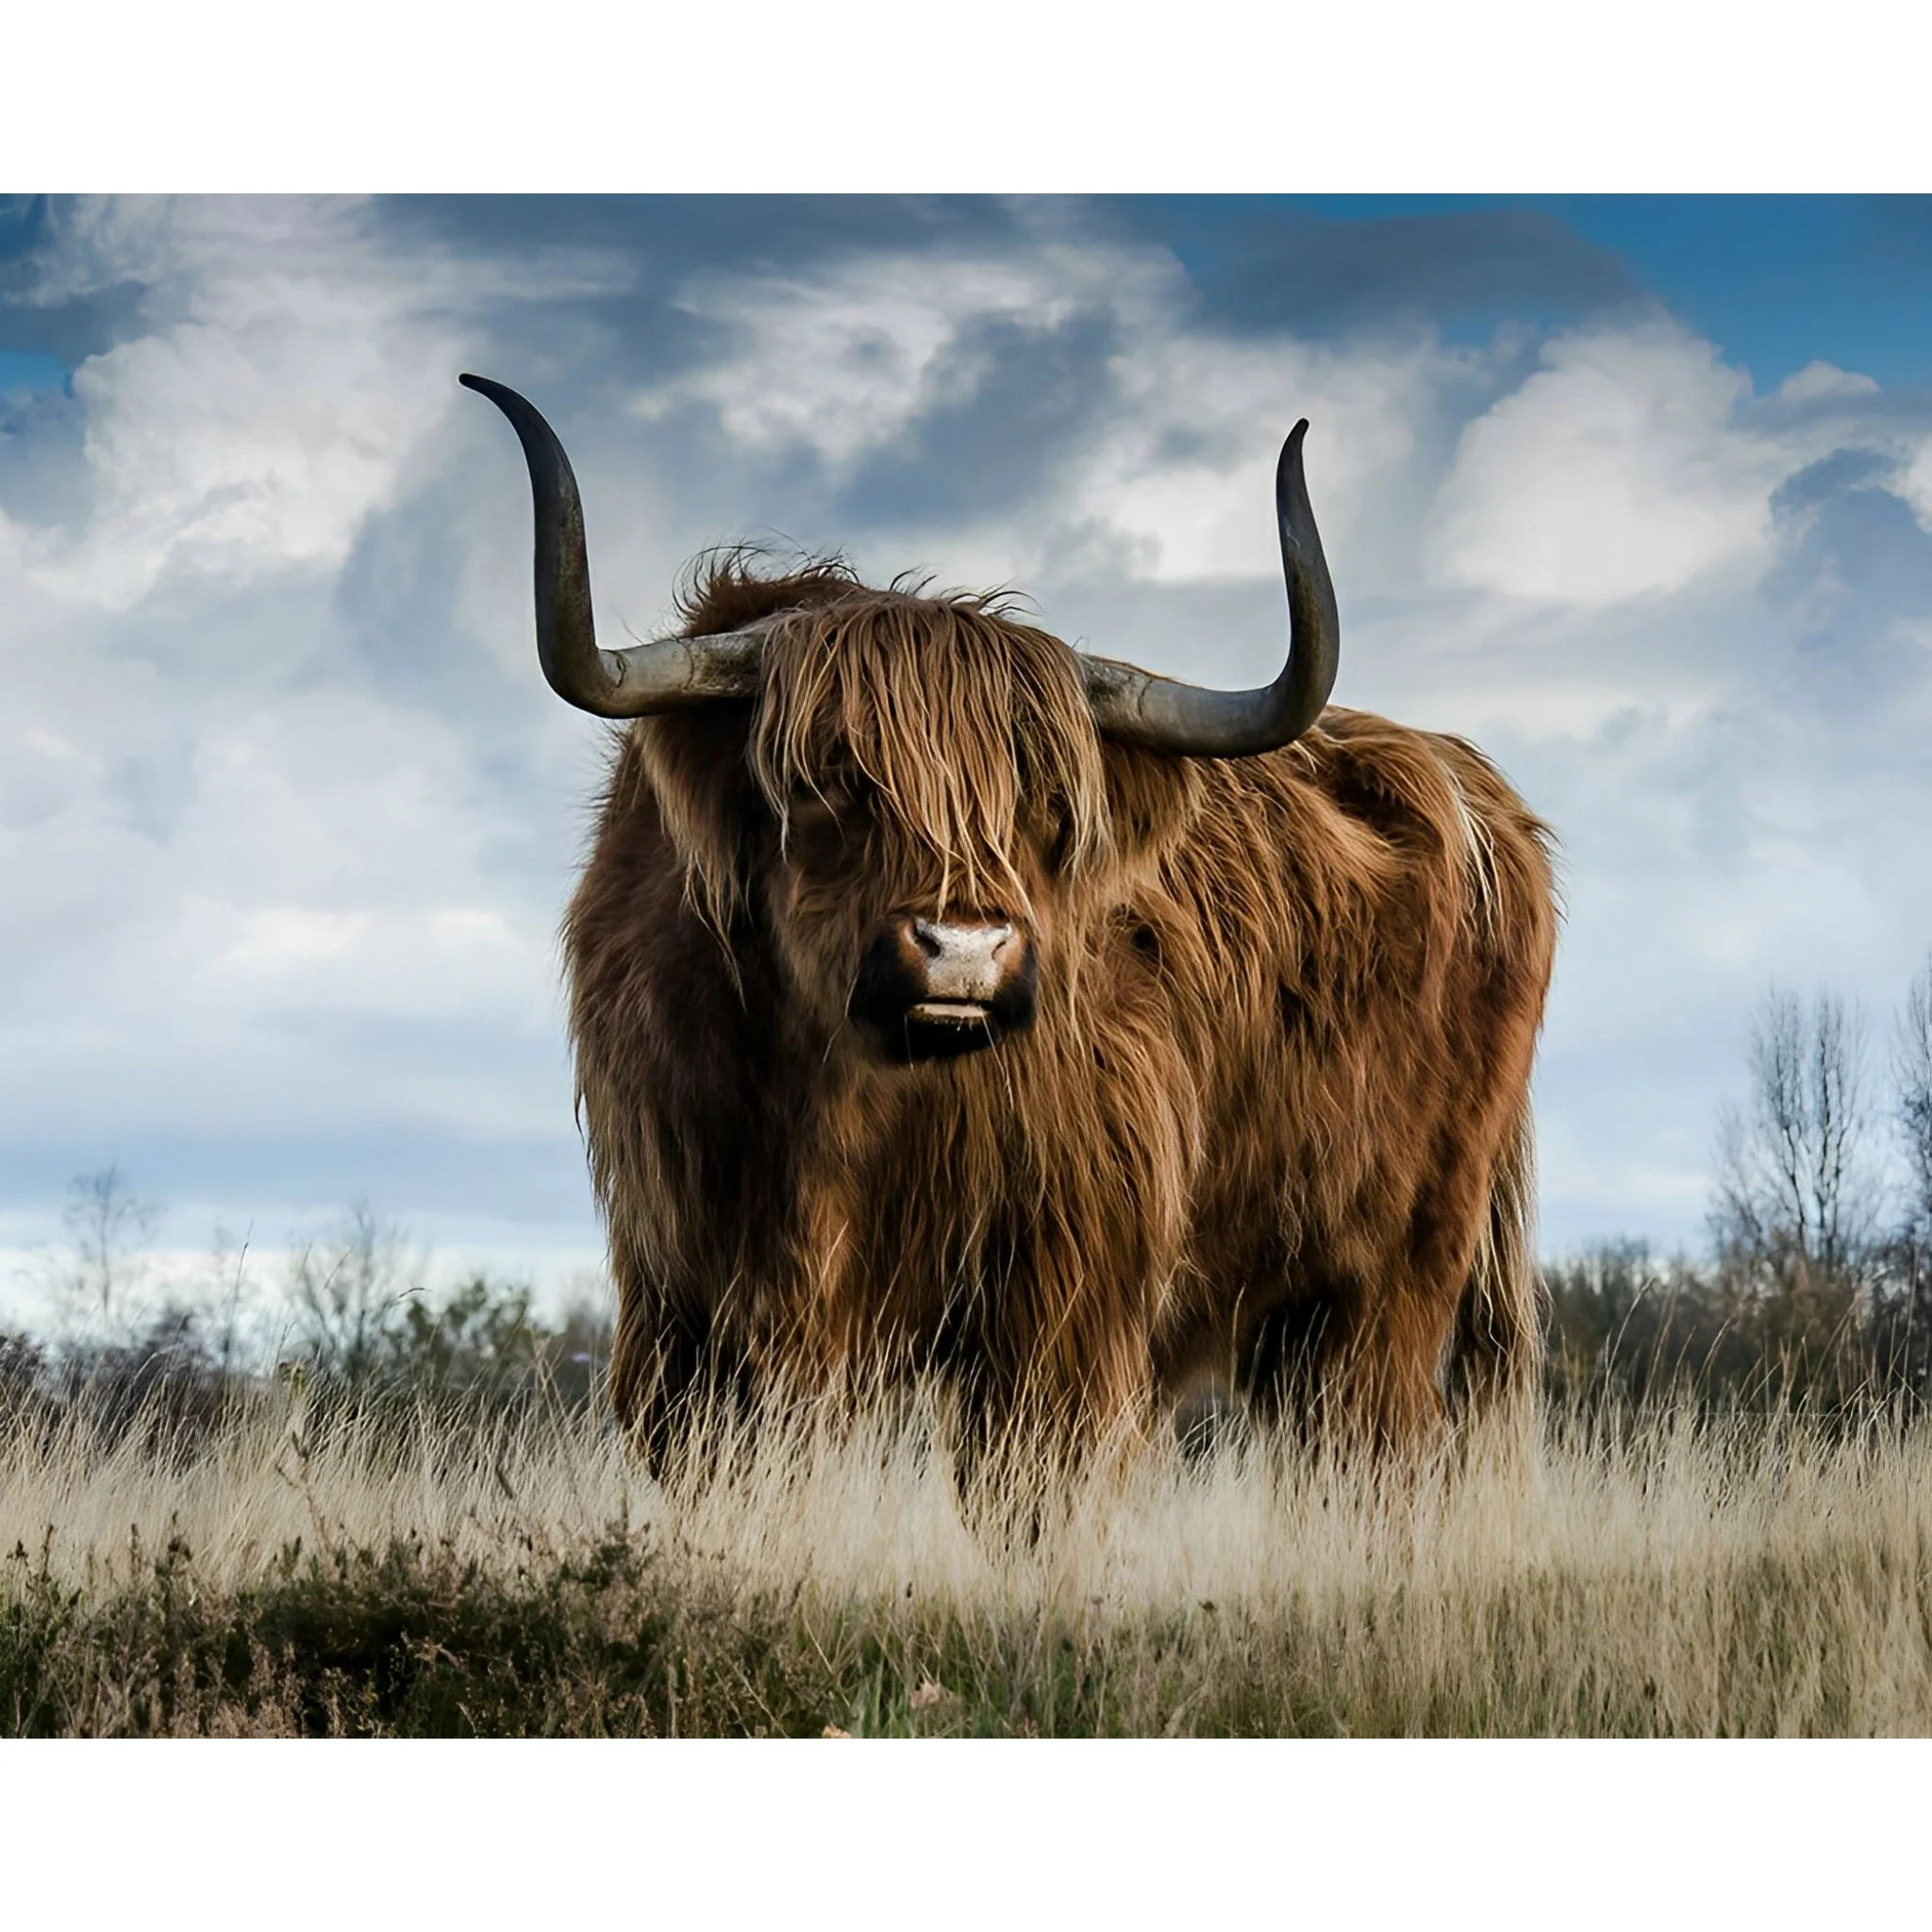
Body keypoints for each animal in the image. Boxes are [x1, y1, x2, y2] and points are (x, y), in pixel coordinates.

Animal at [462, 373, 1558, 1468]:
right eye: (827, 780)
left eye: (1048, 803)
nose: (964, 952)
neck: (834, 1109)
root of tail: (1472, 784)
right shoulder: (680, 1299)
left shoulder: (1063, 1295)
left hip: (1390, 1280)